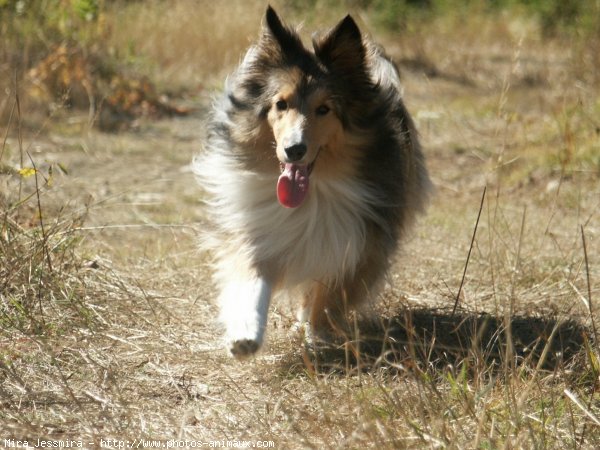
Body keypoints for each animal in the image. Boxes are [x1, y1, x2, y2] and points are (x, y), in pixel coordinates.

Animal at [195, 6, 428, 358]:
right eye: (281, 104)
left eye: (324, 109)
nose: (295, 150)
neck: (314, 189)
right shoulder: (258, 227)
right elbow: (252, 278)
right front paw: (245, 335)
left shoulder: (360, 240)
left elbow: (329, 294)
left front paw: (315, 336)